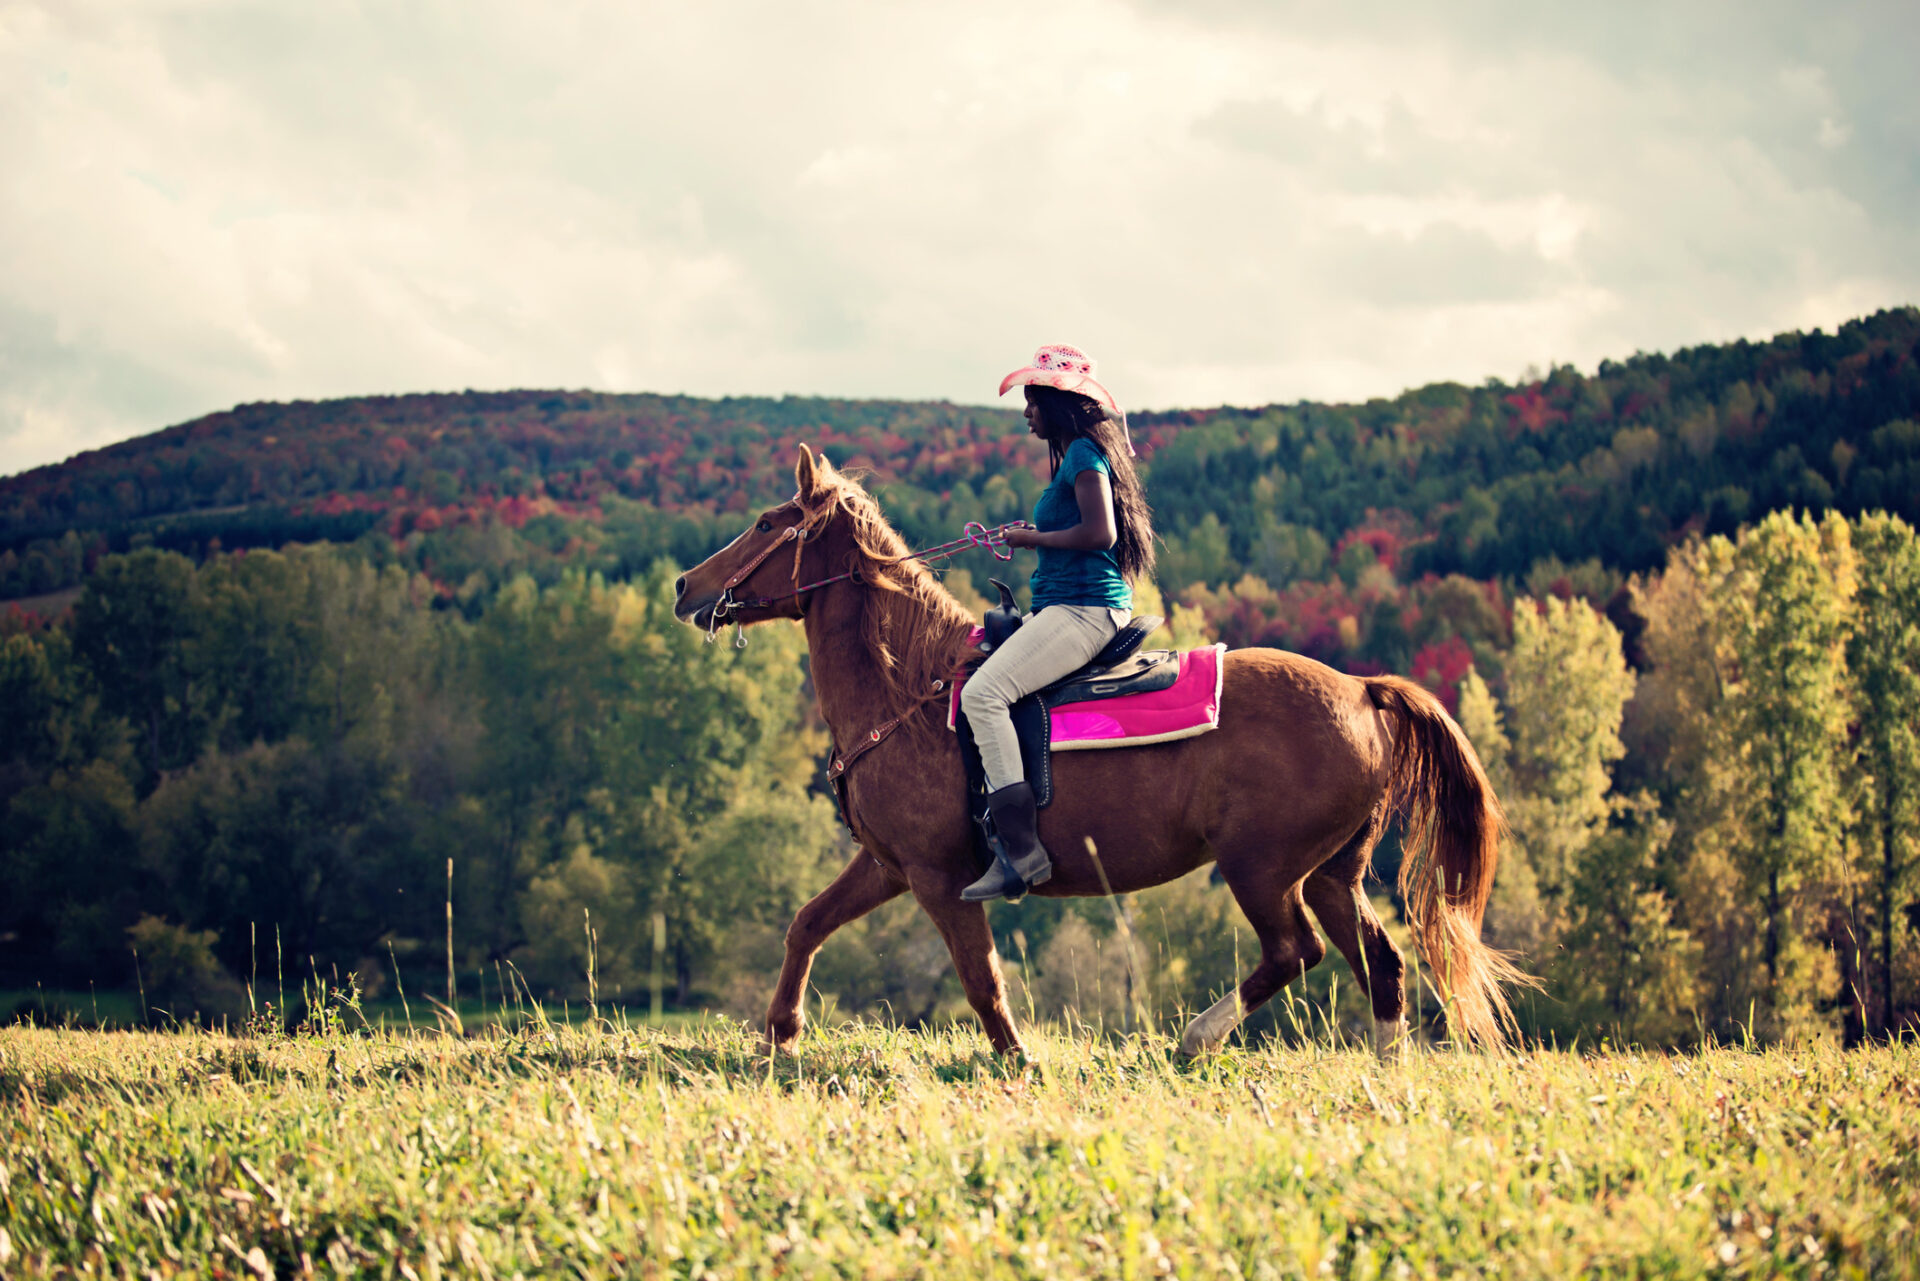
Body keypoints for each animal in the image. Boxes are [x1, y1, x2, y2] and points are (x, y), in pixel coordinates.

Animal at [675, 451, 1528, 1060]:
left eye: (766, 522)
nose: (685, 585)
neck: (908, 691)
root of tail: (1360, 689)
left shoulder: (941, 878)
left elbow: (981, 980)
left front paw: (1018, 1059)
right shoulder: (889, 864)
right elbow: (807, 923)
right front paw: (779, 1033)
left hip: (1261, 867)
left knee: (1296, 950)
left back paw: (1195, 1036)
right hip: (1329, 873)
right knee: (1379, 961)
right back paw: (1387, 1068)